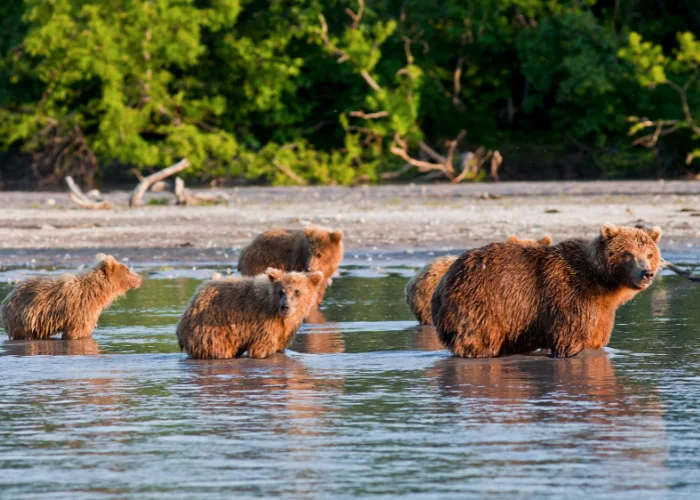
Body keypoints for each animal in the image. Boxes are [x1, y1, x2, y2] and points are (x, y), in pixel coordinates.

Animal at [0, 254, 144, 340]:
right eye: (127, 269)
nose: (140, 278)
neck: (97, 293)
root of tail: (7, 298)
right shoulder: (80, 309)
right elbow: (77, 332)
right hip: (25, 318)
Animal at [178, 270, 326, 360]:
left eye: (297, 291)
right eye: (281, 291)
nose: (285, 306)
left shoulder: (284, 331)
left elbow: (280, 346)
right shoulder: (263, 322)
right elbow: (262, 348)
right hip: (212, 328)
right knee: (219, 350)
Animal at [432, 224, 660, 360]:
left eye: (649, 254)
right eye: (628, 253)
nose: (646, 273)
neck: (602, 283)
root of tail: (444, 281)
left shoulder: (601, 312)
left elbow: (595, 339)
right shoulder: (571, 298)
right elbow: (570, 339)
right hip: (484, 303)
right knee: (480, 340)